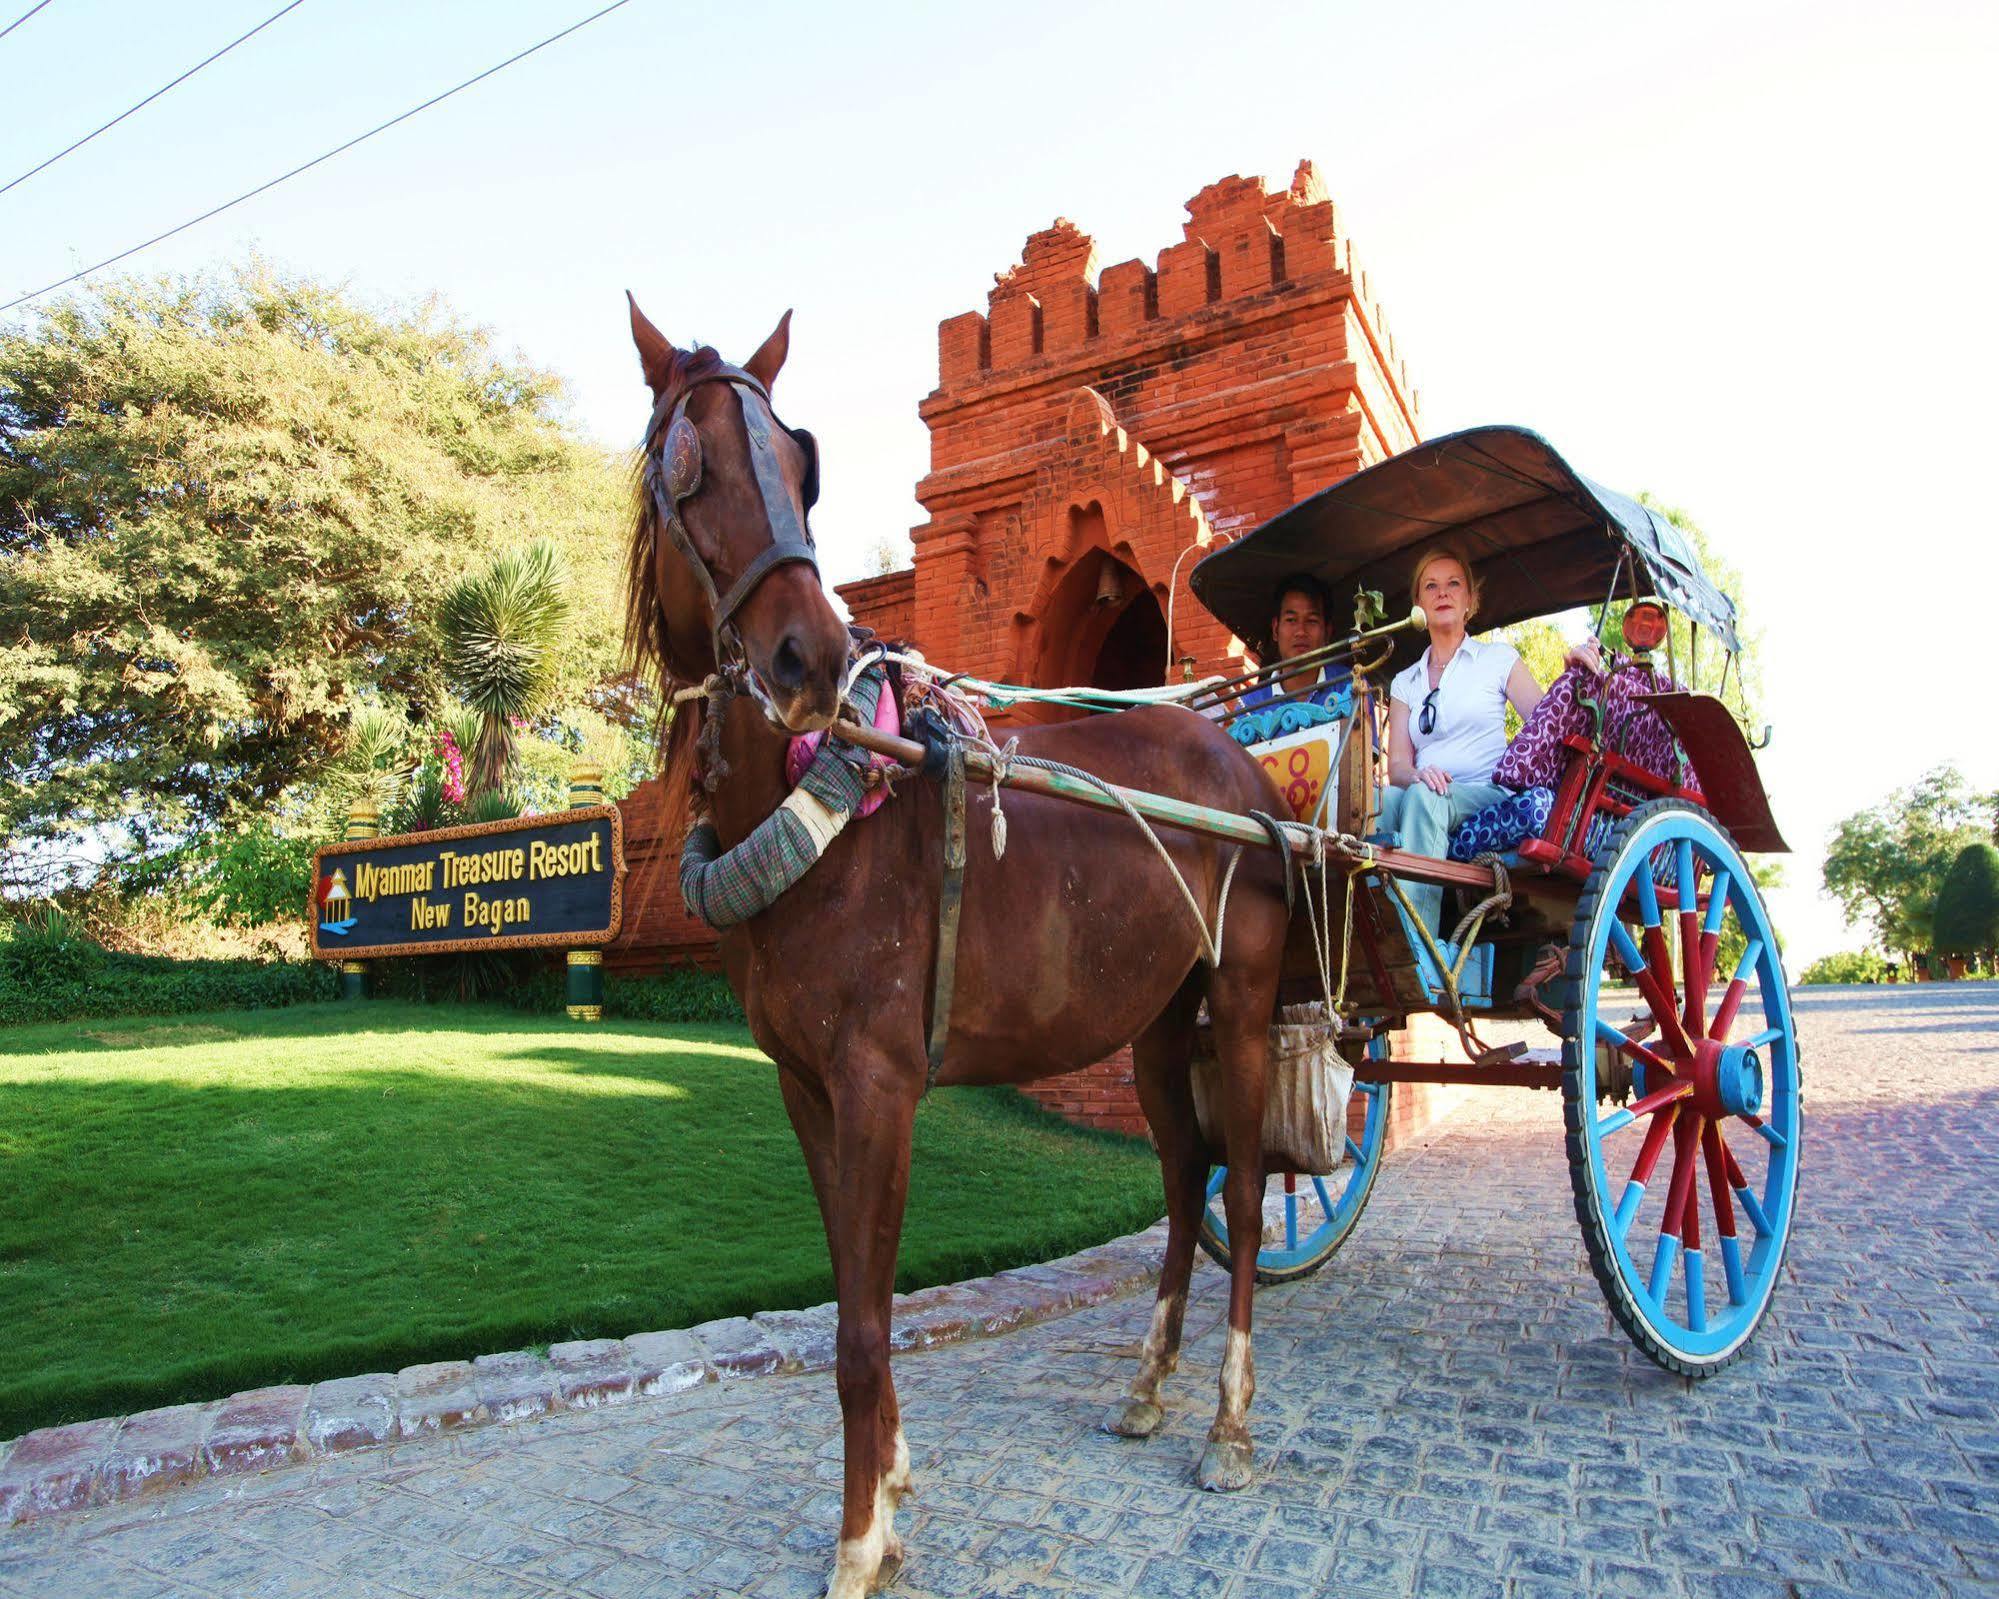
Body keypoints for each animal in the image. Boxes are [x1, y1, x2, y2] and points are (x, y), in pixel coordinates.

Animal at [623, 303, 1295, 1599]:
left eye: (799, 467)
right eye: (686, 468)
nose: (806, 659)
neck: (825, 814)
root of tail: (1240, 762)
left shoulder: (880, 1083)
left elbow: (861, 1327)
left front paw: (858, 1541)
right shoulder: (805, 1086)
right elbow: (854, 1293)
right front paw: (886, 1492)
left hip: (1240, 1002)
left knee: (1240, 1190)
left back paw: (1231, 1423)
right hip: (1151, 1020)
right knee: (1183, 1177)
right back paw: (1148, 1384)